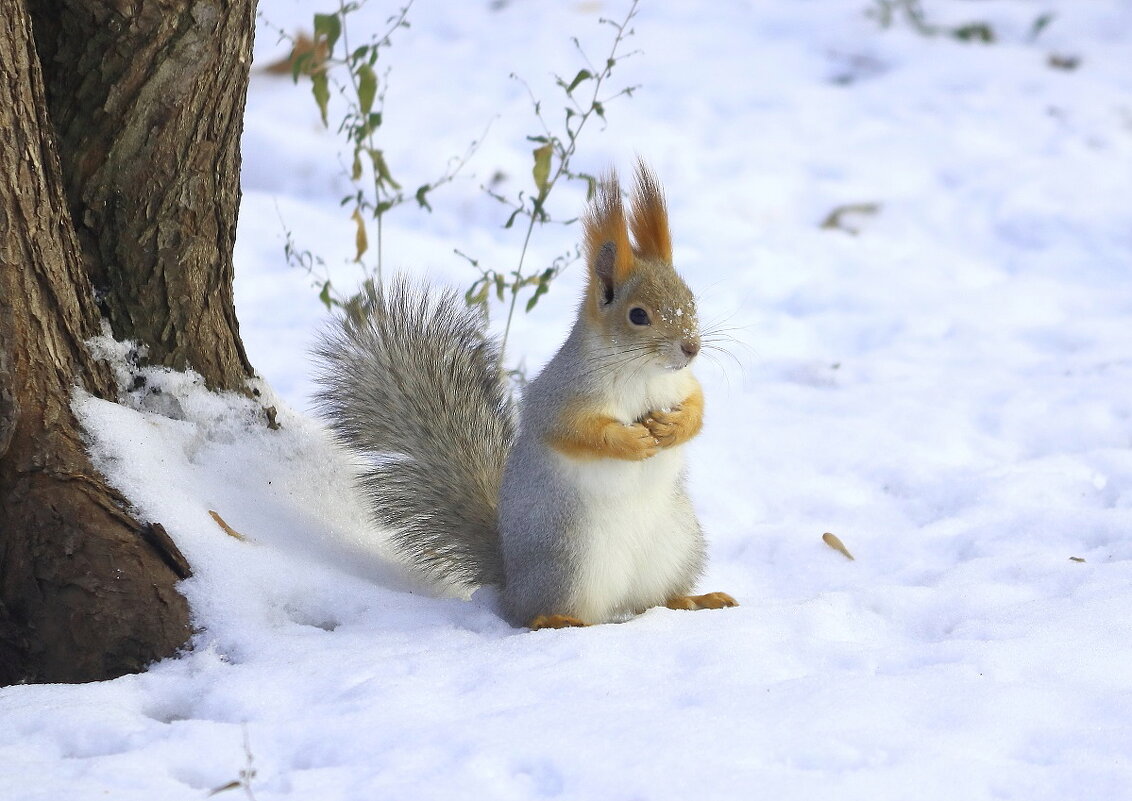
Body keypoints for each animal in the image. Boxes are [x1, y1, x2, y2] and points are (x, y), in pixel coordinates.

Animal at [312, 159, 733, 629]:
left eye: (690, 298)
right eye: (638, 315)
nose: (691, 347)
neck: (644, 373)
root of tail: (511, 584)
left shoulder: (683, 383)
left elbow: (698, 408)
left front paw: (674, 426)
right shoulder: (559, 397)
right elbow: (577, 432)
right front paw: (632, 440)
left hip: (678, 546)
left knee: (654, 599)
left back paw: (696, 600)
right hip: (570, 560)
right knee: (539, 614)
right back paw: (558, 620)